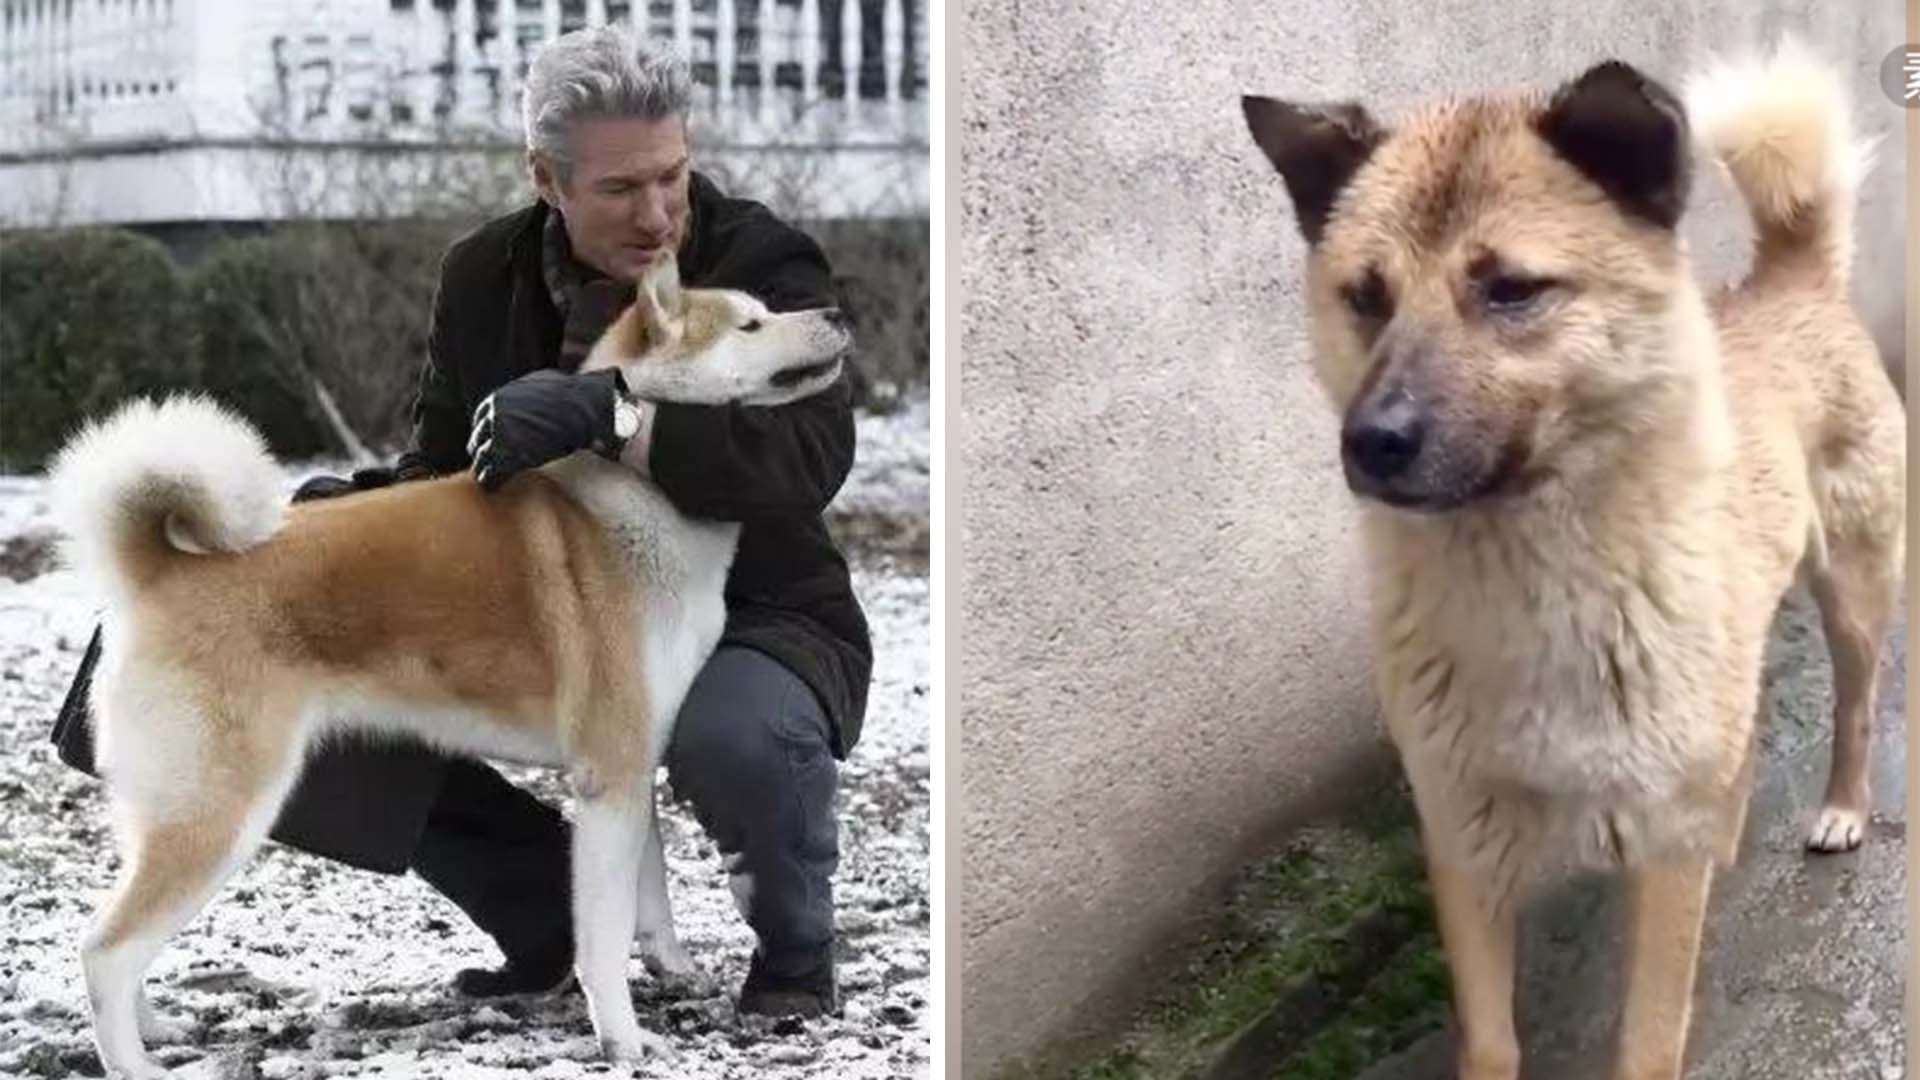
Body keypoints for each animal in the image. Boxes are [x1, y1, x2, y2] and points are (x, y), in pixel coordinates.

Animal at [54, 253, 848, 1076]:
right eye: (750, 324)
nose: (837, 313)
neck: (637, 491)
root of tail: (160, 573)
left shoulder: (632, 769)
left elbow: (648, 890)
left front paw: (672, 966)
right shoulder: (610, 775)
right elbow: (603, 936)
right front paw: (624, 1038)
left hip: (164, 811)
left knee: (117, 935)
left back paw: (155, 1028)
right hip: (220, 811)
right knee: (105, 950)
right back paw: (134, 1059)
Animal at [1244, 39, 1904, 1076]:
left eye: (1511, 289)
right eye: (1367, 297)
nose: (1371, 443)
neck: (1530, 575)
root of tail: (1794, 283)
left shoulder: (1661, 842)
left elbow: (1647, 1037)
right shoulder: (1463, 840)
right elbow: (1490, 1040)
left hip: (1855, 592)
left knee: (1858, 704)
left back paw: (1841, 805)